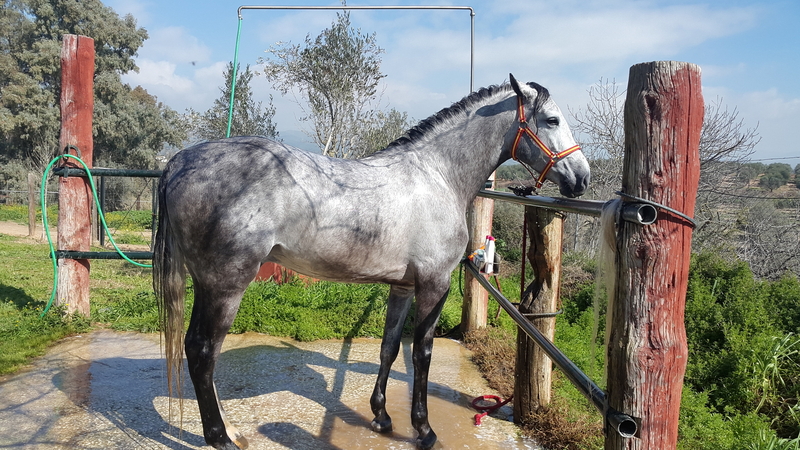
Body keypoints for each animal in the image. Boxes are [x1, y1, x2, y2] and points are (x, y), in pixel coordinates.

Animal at [153, 74, 590, 450]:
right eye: (552, 119)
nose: (582, 178)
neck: (437, 176)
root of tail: (180, 161)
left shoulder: (402, 286)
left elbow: (389, 347)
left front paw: (381, 418)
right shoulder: (434, 284)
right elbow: (421, 354)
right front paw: (424, 430)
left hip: (209, 286)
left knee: (199, 352)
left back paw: (230, 429)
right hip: (225, 285)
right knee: (202, 351)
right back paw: (220, 437)